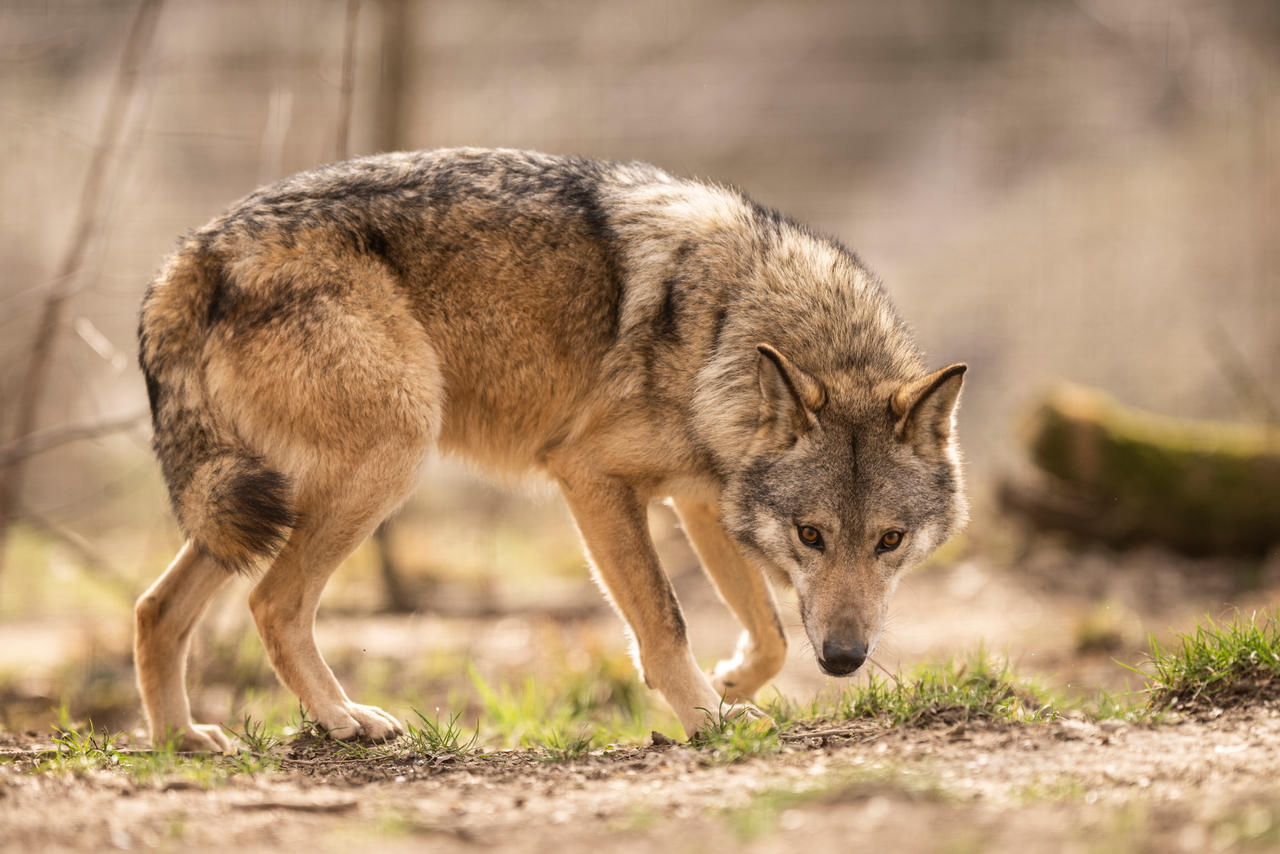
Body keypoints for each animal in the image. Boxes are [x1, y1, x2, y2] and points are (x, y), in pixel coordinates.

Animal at [135, 148, 967, 751]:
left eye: (889, 541)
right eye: (811, 535)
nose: (845, 659)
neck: (727, 328)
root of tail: (195, 253)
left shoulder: (702, 500)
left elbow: (768, 633)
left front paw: (728, 686)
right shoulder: (592, 477)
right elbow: (665, 621)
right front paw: (705, 721)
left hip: (254, 504)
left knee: (155, 609)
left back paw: (181, 739)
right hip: (386, 457)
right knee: (272, 603)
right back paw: (342, 720)